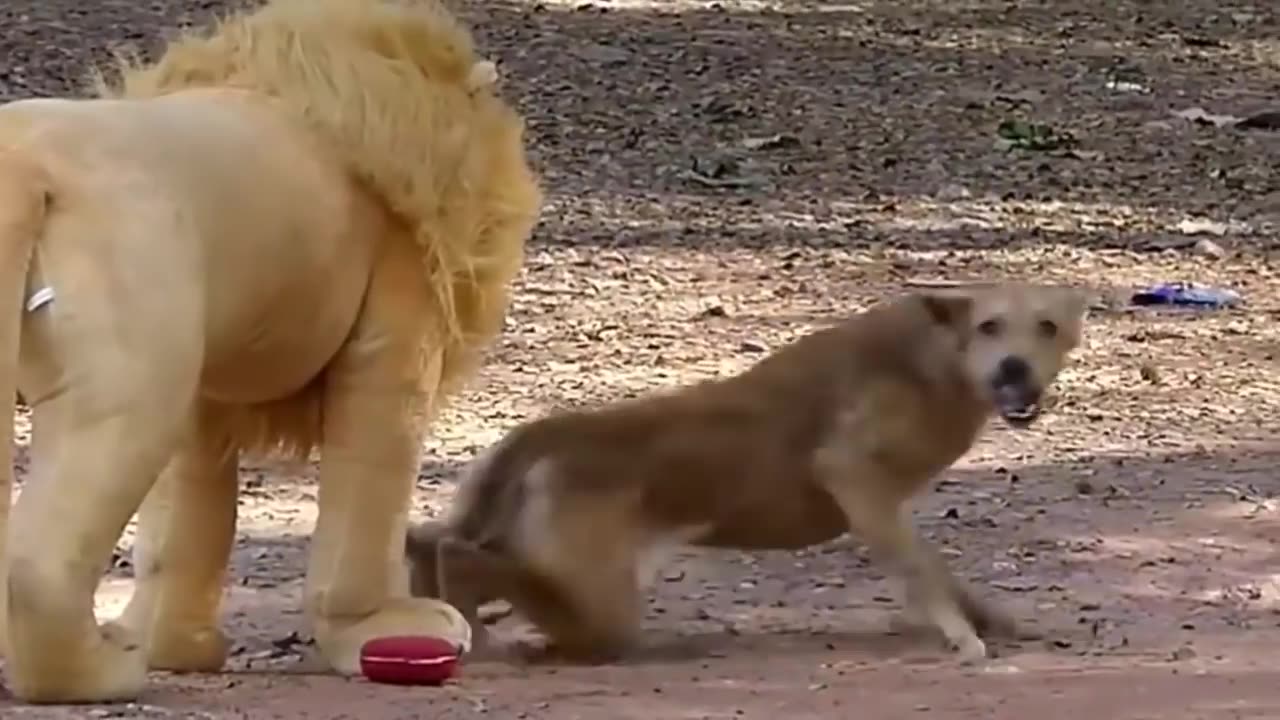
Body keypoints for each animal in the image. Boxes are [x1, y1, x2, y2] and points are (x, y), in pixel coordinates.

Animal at [404, 280, 1085, 661]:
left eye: (1047, 327)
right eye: (989, 327)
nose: (1015, 368)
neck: (937, 357)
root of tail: (544, 432)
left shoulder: (883, 506)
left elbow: (940, 569)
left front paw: (989, 620)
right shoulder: (854, 479)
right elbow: (923, 572)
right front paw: (962, 636)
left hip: (530, 550)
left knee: (432, 542)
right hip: (599, 603)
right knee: (461, 557)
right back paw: (479, 630)